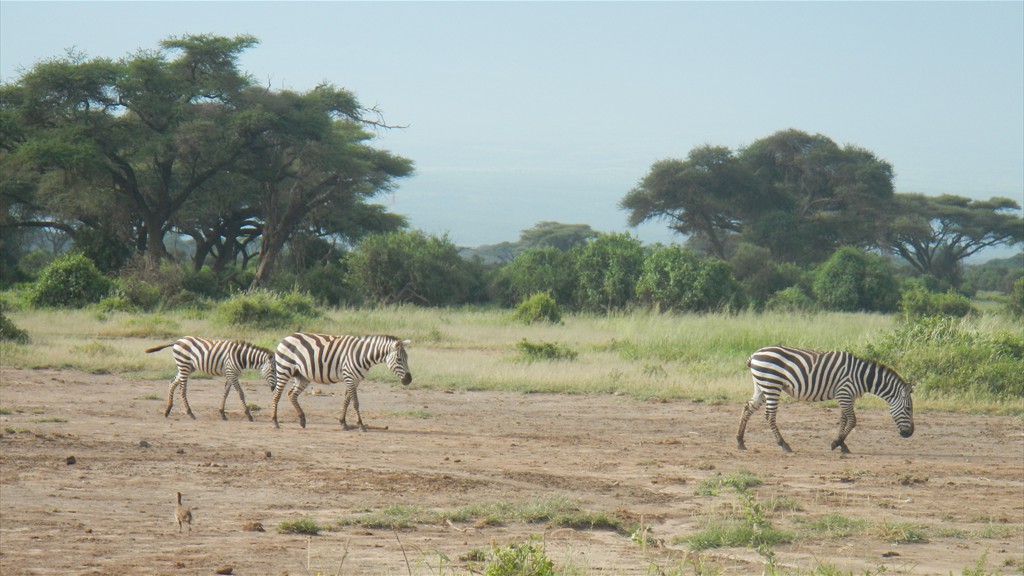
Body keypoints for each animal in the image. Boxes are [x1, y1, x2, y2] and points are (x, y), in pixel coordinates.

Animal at [146, 334, 276, 420]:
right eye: (273, 370)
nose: (274, 388)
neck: (240, 356)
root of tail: (177, 341)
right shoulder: (232, 373)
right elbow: (240, 393)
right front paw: (249, 415)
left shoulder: (230, 374)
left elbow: (226, 393)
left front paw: (222, 413)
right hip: (184, 365)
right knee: (182, 390)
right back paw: (190, 413)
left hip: (186, 367)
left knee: (172, 383)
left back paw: (167, 411)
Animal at [272, 332, 415, 426]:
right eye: (399, 359)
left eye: (407, 358)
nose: (408, 380)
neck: (363, 355)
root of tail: (288, 337)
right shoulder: (350, 377)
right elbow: (355, 402)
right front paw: (360, 424)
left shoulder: (355, 380)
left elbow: (347, 400)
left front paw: (343, 422)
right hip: (284, 369)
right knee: (277, 395)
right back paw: (275, 421)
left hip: (302, 376)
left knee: (292, 394)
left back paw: (302, 419)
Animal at [737, 342, 913, 450]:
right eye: (908, 408)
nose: (909, 434)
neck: (862, 376)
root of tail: (755, 355)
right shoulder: (844, 393)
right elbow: (853, 420)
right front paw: (836, 443)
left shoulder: (847, 396)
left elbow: (844, 420)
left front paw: (842, 445)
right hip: (772, 384)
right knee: (770, 415)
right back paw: (783, 444)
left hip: (762, 386)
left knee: (748, 408)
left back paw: (740, 442)